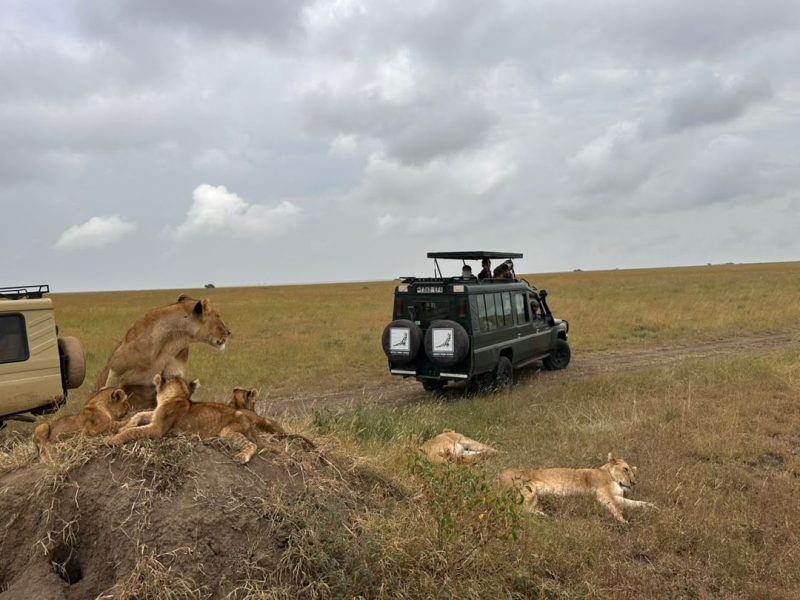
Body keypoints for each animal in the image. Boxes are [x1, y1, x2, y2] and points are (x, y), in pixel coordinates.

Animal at [498, 453, 656, 523]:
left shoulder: (617, 496)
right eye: (626, 469)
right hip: (528, 490)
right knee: (516, 510)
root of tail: (500, 474)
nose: (634, 482)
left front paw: (652, 507)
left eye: (633, 472)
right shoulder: (603, 494)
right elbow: (615, 507)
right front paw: (623, 521)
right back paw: (544, 516)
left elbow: (635, 503)